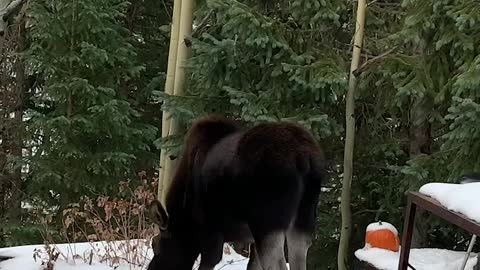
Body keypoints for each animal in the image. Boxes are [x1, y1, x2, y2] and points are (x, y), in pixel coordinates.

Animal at [147, 116, 326, 270]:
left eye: (155, 244)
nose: (152, 269)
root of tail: (303, 158)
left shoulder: (210, 232)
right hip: (303, 217)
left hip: (267, 220)